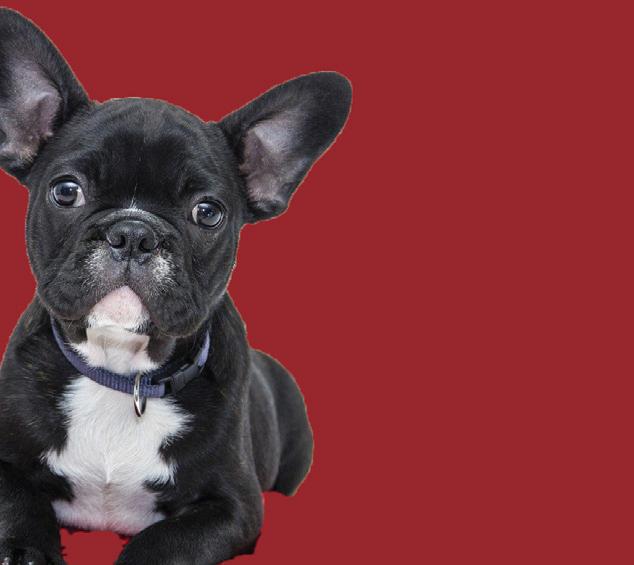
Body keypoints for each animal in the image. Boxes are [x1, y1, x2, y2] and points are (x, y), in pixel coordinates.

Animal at [0, 8, 351, 565]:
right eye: (66, 190)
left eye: (207, 212)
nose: (133, 233)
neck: (121, 373)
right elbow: (16, 497)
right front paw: (25, 550)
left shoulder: (234, 508)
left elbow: (165, 541)